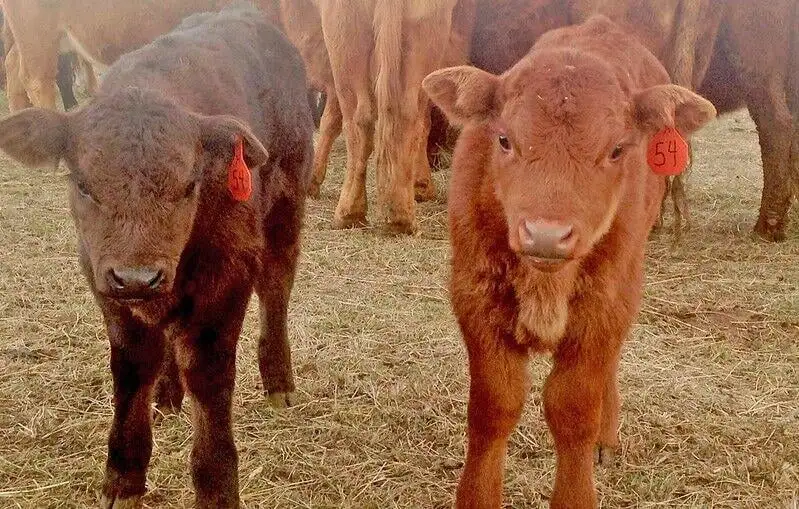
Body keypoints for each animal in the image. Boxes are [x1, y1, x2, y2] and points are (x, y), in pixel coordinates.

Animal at [0, 4, 313, 507]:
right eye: (82, 184)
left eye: (189, 185)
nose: (136, 277)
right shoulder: (104, 282)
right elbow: (133, 369)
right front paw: (123, 478)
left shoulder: (228, 276)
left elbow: (208, 373)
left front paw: (217, 484)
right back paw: (167, 394)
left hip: (287, 204)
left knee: (277, 286)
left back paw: (279, 383)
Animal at [316, 0, 476, 234]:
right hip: (424, 35)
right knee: (411, 116)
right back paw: (402, 216)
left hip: (342, 32)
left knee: (357, 121)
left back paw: (348, 214)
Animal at [423, 15, 716, 509]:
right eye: (504, 139)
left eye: (617, 149)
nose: (545, 233)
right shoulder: (474, 295)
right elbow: (494, 404)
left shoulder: (605, 305)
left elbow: (574, 407)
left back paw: (606, 438)